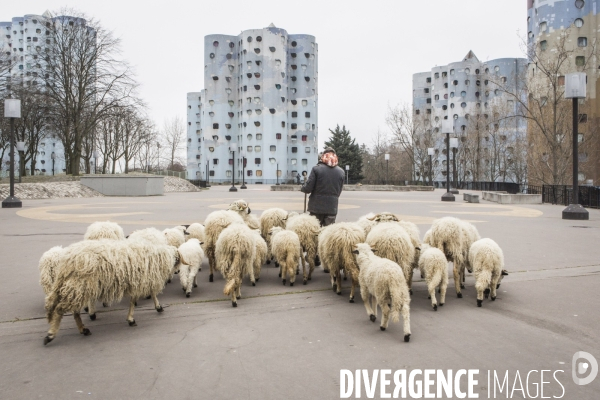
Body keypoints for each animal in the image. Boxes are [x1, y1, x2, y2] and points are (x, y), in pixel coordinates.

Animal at [43, 239, 179, 346]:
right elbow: (135, 300)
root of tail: (66, 262)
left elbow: (150, 294)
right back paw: (50, 335)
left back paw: (83, 329)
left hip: (76, 287)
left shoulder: (142, 281)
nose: (177, 271)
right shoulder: (141, 280)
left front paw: (158, 307)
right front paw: (132, 319)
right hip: (79, 285)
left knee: (73, 310)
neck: (161, 257)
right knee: (60, 310)